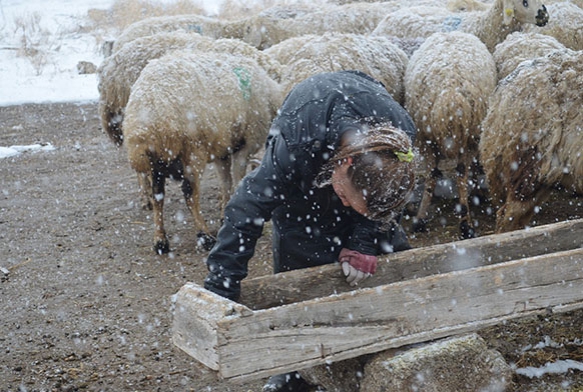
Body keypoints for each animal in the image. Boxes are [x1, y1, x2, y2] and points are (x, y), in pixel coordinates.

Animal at [124, 50, 286, 254]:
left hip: (157, 161)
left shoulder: (222, 150)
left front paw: (225, 213)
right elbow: (238, 179)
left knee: (158, 196)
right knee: (189, 193)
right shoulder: (243, 145)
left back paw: (160, 240)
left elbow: (226, 182)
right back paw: (204, 236)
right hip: (192, 150)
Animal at [406, 30, 498, 239]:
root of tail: (450, 94)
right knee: (461, 173)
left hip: (427, 135)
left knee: (433, 173)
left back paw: (420, 219)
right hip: (468, 136)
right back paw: (466, 224)